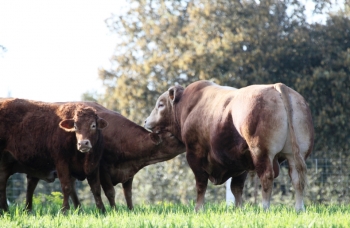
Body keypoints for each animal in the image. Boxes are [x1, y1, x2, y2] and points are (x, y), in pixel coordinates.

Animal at [145, 80, 314, 212]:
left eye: (160, 104)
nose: (146, 121)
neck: (188, 107)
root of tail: (277, 86)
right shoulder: (241, 163)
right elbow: (236, 187)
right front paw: (239, 209)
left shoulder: (195, 155)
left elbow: (201, 185)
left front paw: (198, 209)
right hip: (295, 155)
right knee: (297, 179)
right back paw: (299, 209)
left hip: (262, 152)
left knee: (267, 177)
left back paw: (265, 208)